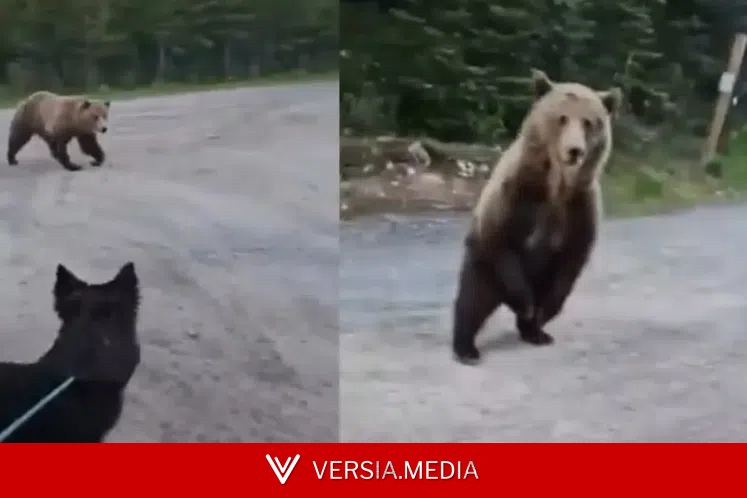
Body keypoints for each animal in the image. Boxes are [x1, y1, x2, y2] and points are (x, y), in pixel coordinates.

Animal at [451, 69, 622, 364]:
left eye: (589, 122)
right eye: (562, 118)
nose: (574, 150)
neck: (556, 185)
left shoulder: (579, 207)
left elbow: (572, 260)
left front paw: (540, 314)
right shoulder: (517, 193)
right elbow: (502, 240)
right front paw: (526, 304)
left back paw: (535, 332)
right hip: (483, 267)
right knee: (472, 301)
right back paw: (467, 347)